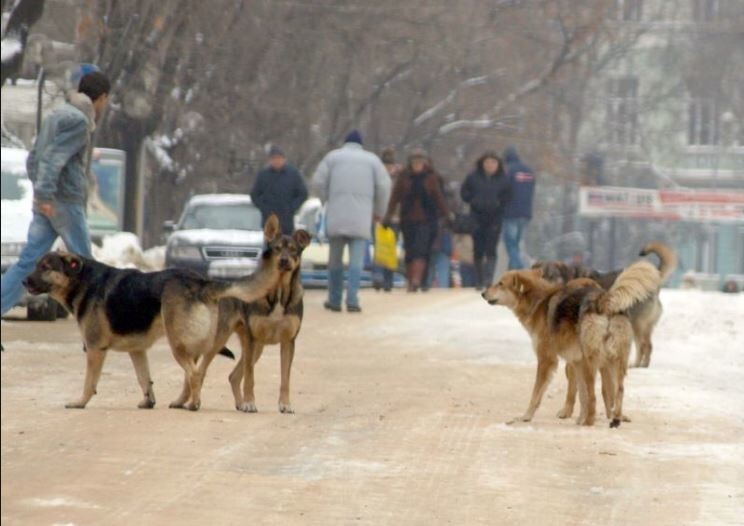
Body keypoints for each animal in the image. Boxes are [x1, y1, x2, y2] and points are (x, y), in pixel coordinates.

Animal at [24, 223, 282, 408]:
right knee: (193, 374)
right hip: (194, 344)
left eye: (45, 267)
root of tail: (200, 282)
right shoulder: (137, 350)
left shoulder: (95, 350)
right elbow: (144, 378)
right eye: (37, 265)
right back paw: (183, 402)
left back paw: (194, 404)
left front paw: (80, 402)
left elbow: (90, 382)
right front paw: (148, 401)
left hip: (179, 344)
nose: (23, 281)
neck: (82, 281)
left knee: (195, 374)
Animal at [161, 217, 310, 414]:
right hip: (218, 340)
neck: (278, 292)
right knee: (196, 371)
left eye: (293, 249)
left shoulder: (288, 341)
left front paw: (285, 405)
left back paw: (236, 403)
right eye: (277, 248)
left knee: (231, 375)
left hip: (256, 347)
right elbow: (250, 377)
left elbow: (285, 378)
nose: (284, 260)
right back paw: (185, 401)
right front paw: (250, 403)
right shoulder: (252, 338)